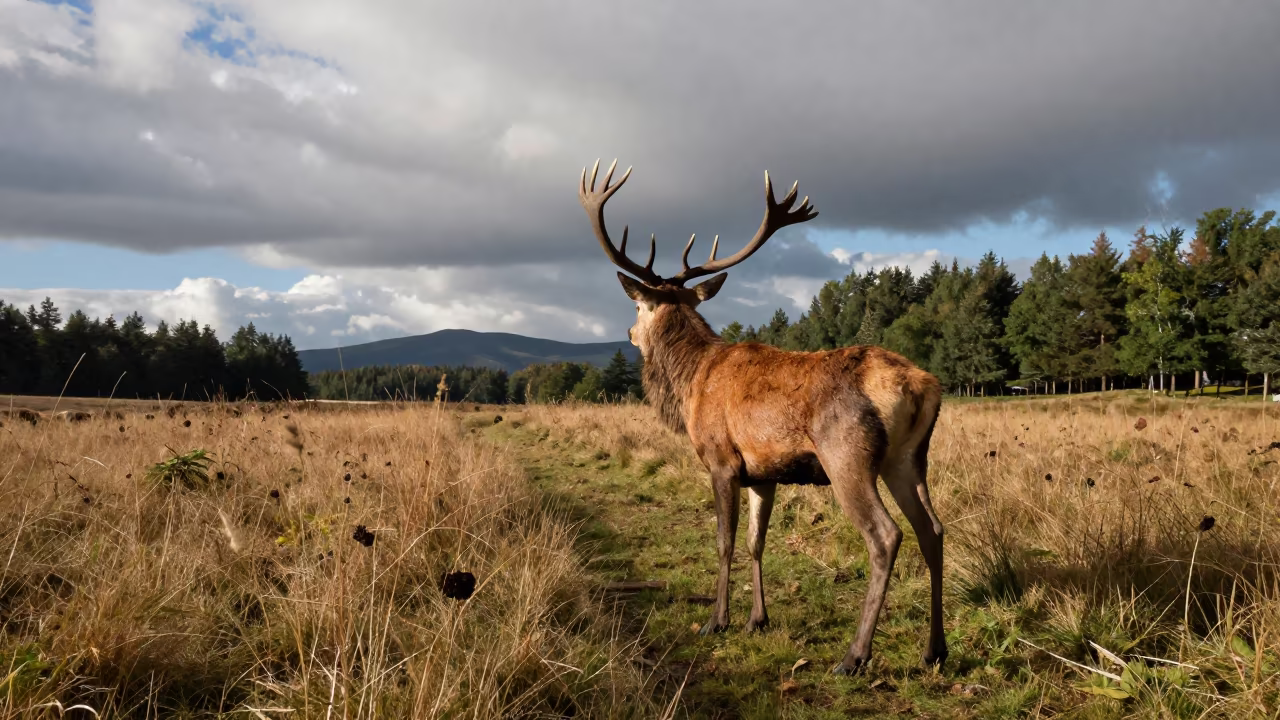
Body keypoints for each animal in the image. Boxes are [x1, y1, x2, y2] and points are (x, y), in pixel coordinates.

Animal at [578, 159, 947, 674]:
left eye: (636, 304)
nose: (630, 332)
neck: (691, 383)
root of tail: (920, 385)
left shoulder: (721, 460)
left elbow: (725, 540)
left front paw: (717, 620)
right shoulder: (762, 472)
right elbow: (757, 541)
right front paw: (757, 619)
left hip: (848, 457)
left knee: (886, 535)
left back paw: (854, 655)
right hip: (908, 459)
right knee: (932, 529)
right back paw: (935, 649)